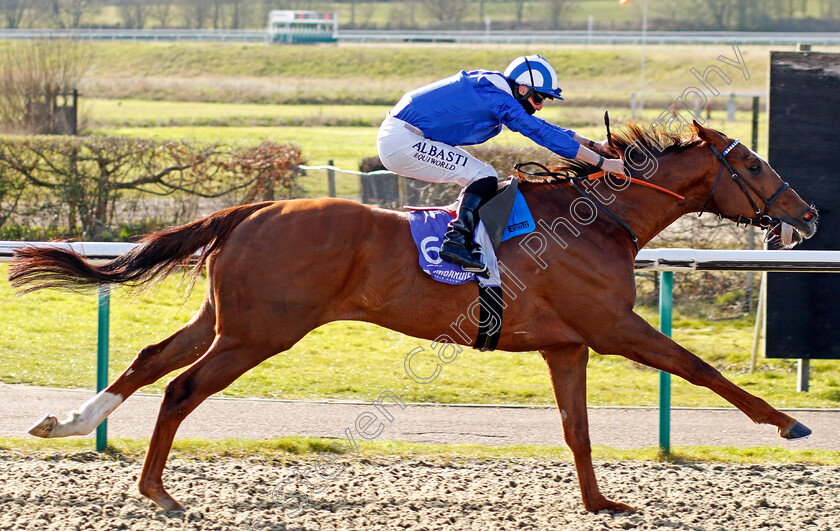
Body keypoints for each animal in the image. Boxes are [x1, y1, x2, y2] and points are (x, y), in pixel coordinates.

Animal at [9, 122, 816, 512]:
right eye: (755, 165)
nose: (807, 214)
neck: (599, 220)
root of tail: (254, 208)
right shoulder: (613, 327)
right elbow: (699, 367)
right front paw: (787, 423)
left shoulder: (567, 345)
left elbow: (578, 429)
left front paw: (600, 502)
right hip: (259, 332)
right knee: (182, 388)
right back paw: (157, 491)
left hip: (226, 319)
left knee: (150, 358)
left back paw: (67, 423)